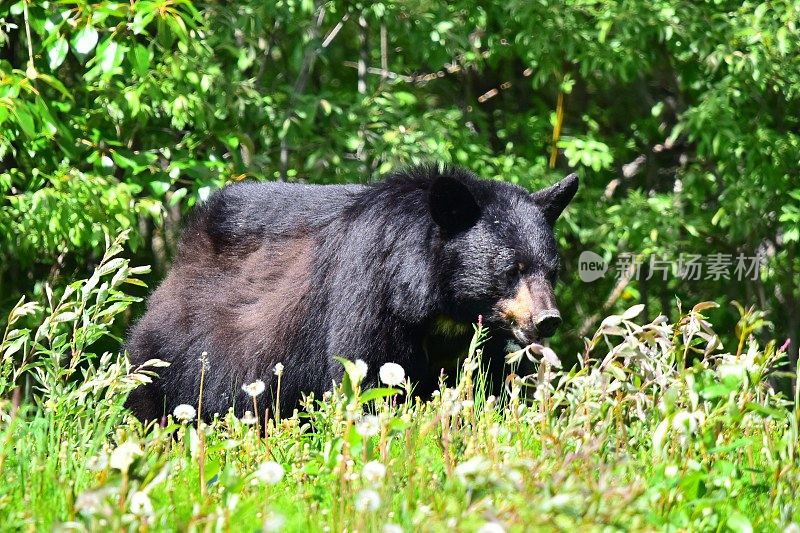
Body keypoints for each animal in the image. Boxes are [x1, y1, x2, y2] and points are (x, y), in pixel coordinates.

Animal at [123, 164, 576, 422]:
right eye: (512, 269)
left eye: (551, 271)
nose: (547, 319)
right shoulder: (368, 294)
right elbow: (368, 375)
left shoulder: (475, 338)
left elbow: (485, 383)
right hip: (174, 354)